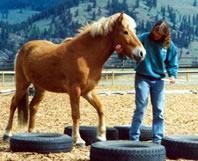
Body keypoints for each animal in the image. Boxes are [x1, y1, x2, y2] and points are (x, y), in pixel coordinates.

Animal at [2, 11, 146, 147]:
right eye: (125, 31)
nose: (141, 53)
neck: (86, 56)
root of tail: (24, 48)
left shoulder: (88, 91)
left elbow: (100, 109)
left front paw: (101, 136)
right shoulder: (75, 90)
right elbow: (76, 114)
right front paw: (78, 139)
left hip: (40, 88)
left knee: (33, 106)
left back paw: (31, 133)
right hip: (22, 83)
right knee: (13, 103)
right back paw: (7, 133)